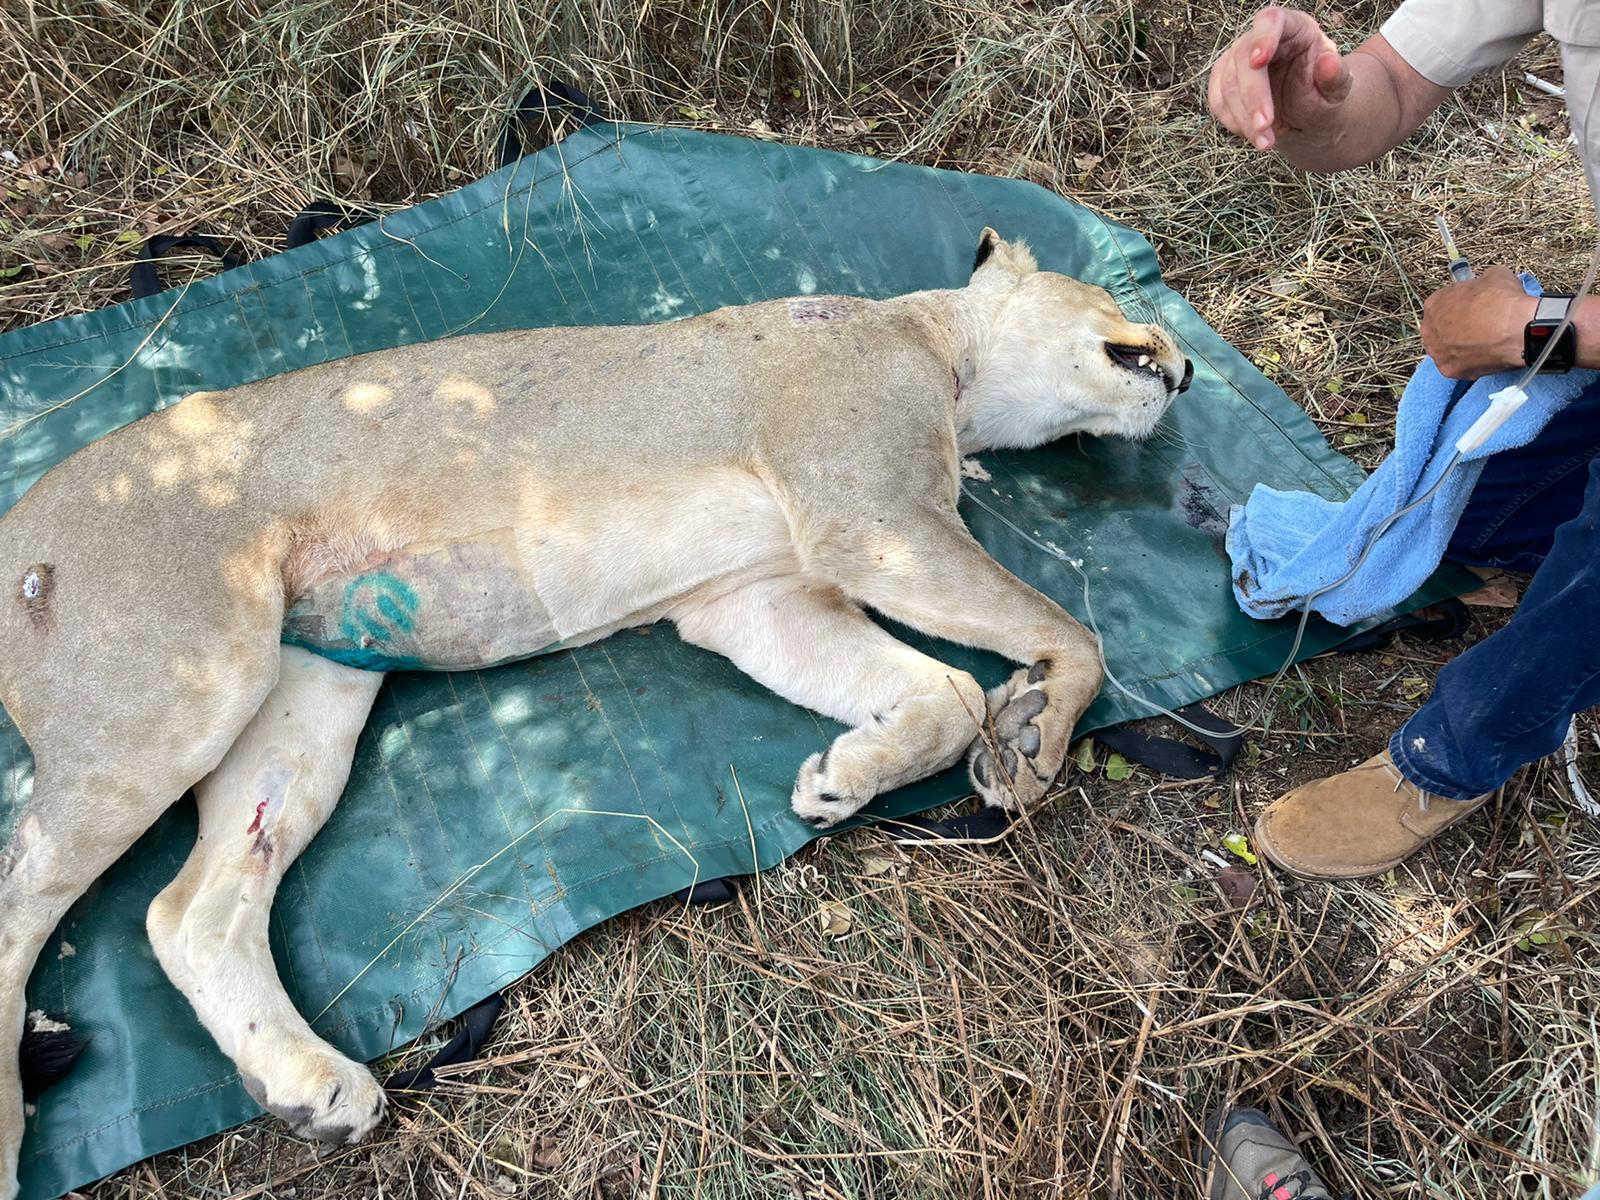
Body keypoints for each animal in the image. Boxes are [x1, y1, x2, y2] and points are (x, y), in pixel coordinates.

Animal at [0, 228, 1189, 1194]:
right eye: (1114, 301)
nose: (1181, 369)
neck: (937, 352)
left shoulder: (755, 599)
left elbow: (941, 691)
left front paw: (846, 777)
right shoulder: (872, 515)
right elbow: (1066, 636)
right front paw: (1035, 737)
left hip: (301, 696)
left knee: (190, 911)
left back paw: (313, 1090)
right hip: (178, 688)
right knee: (26, 898)